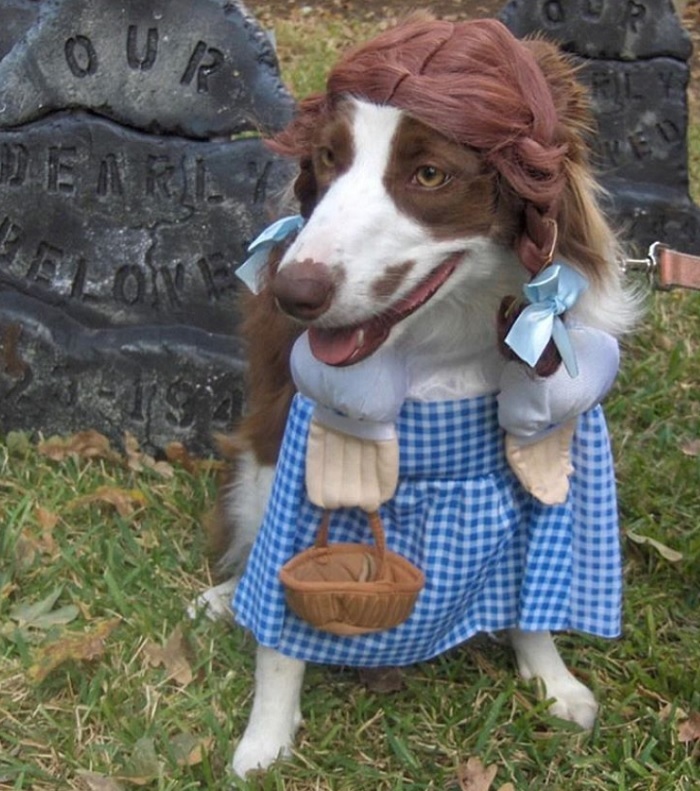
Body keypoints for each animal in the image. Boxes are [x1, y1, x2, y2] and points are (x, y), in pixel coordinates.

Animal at [194, 13, 636, 780]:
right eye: (328, 159)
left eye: (429, 173)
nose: (292, 292)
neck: (439, 349)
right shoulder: (294, 455)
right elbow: (280, 634)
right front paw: (265, 741)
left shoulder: (540, 456)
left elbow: (536, 587)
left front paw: (552, 682)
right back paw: (225, 599)